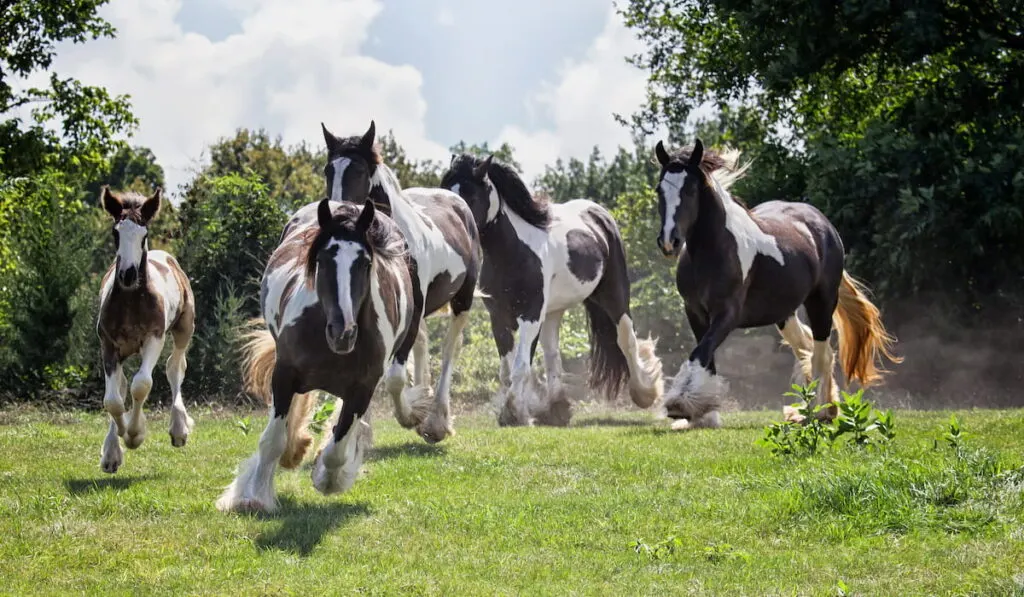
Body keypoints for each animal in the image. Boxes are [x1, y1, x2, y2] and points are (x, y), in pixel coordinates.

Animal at [96, 184, 195, 475]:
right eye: (116, 232)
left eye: (144, 234)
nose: (127, 275)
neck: (131, 301)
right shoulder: (108, 344)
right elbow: (113, 399)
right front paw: (116, 444)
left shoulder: (154, 338)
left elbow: (142, 384)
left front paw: (134, 434)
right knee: (120, 385)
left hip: (184, 329)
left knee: (175, 367)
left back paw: (179, 428)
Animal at [317, 123, 481, 446]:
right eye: (329, 170)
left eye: (359, 170)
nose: (338, 214)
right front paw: (359, 432)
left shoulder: (413, 313)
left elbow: (394, 377)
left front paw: (413, 415)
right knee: (424, 344)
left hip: (462, 301)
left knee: (449, 350)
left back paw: (436, 420)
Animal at [651, 139, 901, 430]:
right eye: (659, 190)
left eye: (691, 189)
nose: (669, 242)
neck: (714, 250)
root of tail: (823, 225)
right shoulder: (695, 312)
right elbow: (706, 354)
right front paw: (703, 415)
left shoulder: (727, 314)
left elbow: (701, 351)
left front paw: (680, 404)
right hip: (785, 313)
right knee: (806, 347)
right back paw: (816, 408)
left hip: (822, 302)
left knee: (821, 352)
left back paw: (818, 412)